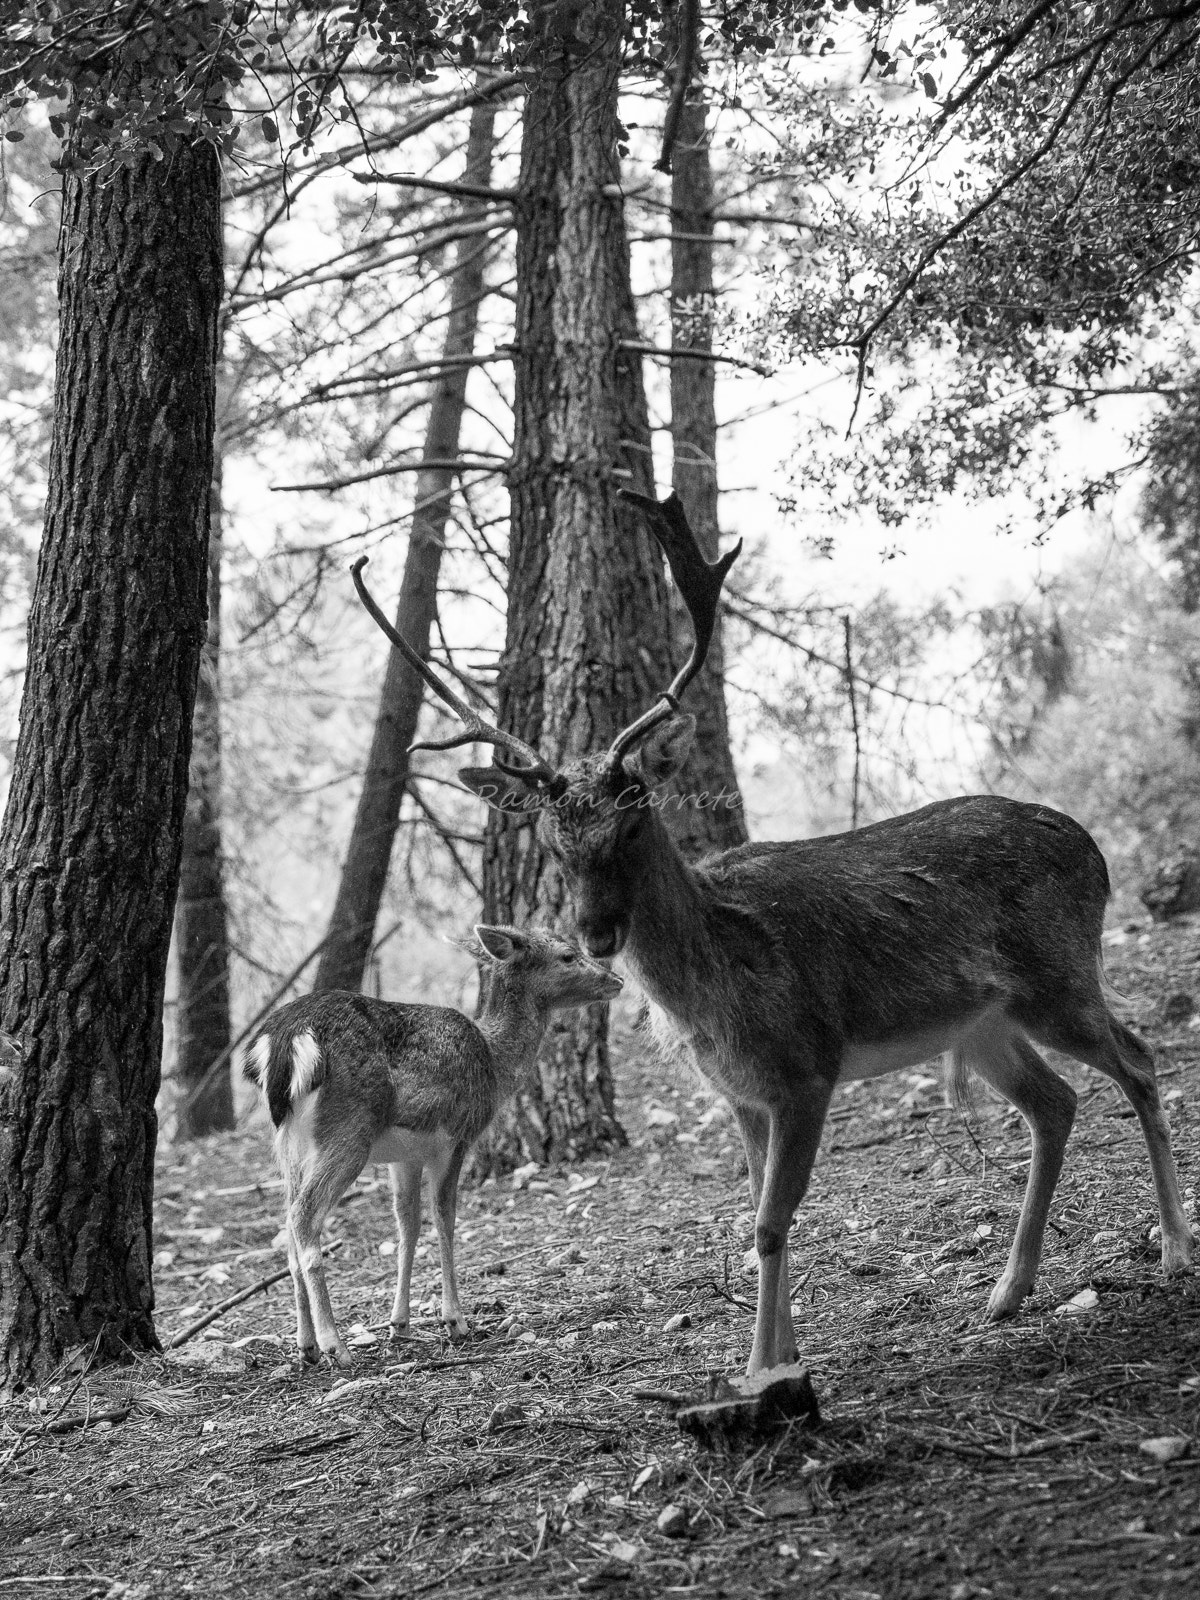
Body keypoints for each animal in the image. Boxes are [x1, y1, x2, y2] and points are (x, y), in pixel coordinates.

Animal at [244, 928, 620, 1363]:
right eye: (568, 955)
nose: (616, 980)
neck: (494, 1065)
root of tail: (282, 1041)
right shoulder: (458, 1136)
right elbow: (445, 1217)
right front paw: (455, 1321)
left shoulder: (405, 1155)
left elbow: (407, 1224)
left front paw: (400, 1324)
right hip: (348, 1131)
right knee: (304, 1218)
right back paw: (333, 1343)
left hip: (290, 1143)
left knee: (288, 1227)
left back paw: (305, 1346)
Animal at [352, 499, 1196, 1376]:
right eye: (552, 838)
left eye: (633, 816)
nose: (596, 931)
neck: (715, 993)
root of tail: (1096, 851)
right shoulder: (742, 1095)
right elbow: (758, 1214)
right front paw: (780, 1352)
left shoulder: (805, 1070)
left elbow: (768, 1221)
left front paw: (762, 1365)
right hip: (985, 1021)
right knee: (1056, 1102)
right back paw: (1007, 1290)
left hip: (1058, 975)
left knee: (1139, 1059)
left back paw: (1172, 1248)